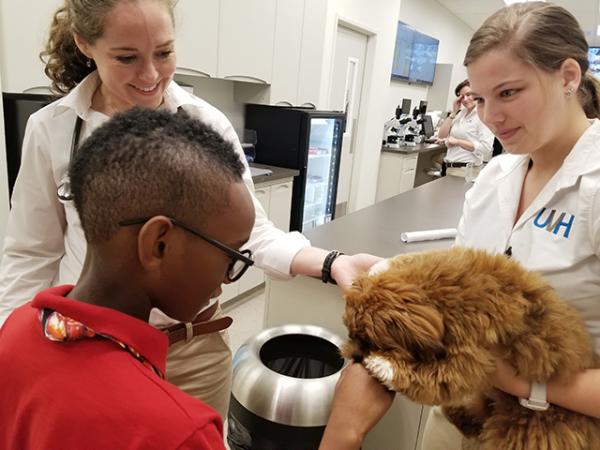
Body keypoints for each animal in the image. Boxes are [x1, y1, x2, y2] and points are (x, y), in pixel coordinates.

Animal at [342, 248, 600, 448]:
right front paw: (379, 266)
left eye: (371, 343)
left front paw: (381, 364)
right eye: (351, 334)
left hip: (526, 428)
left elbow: (436, 378)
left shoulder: (470, 356)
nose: (355, 356)